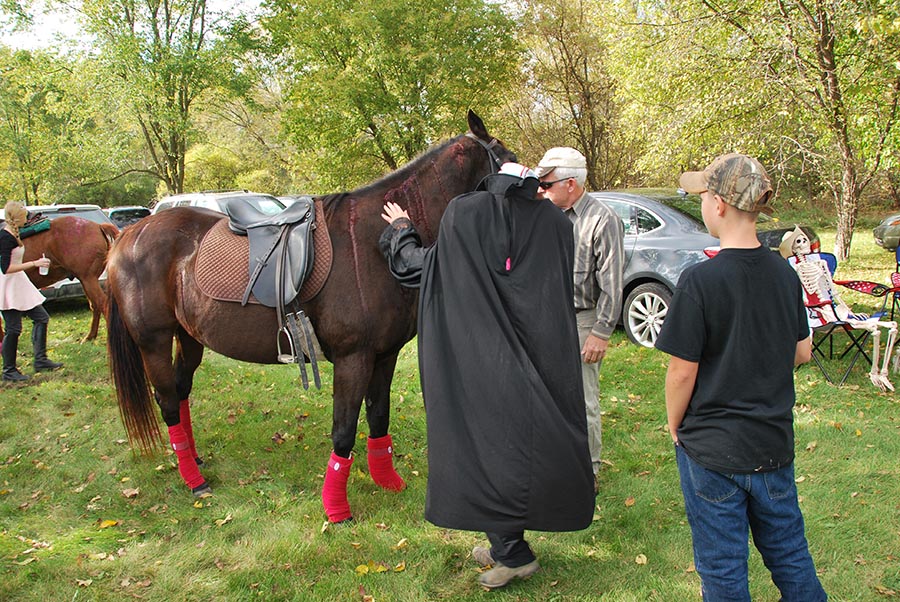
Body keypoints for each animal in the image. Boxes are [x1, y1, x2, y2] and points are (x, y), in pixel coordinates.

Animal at [0, 214, 118, 342]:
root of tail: (98, 226)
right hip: (86, 281)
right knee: (95, 306)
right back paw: (90, 336)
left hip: (89, 279)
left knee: (103, 305)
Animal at [107, 111, 512, 520]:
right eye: (508, 160)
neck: (373, 242)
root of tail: (128, 235)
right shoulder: (354, 358)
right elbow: (344, 431)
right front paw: (336, 510)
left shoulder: (385, 356)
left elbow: (378, 419)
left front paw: (388, 483)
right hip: (154, 342)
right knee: (168, 402)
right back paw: (194, 480)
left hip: (189, 337)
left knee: (180, 391)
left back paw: (194, 460)